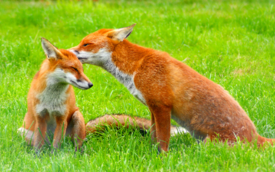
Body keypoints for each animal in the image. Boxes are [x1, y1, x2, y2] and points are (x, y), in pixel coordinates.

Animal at [69, 23, 275, 151]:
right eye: (81, 42)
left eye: (86, 44)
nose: (67, 52)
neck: (136, 67)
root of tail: (257, 138)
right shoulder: (152, 107)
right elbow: (154, 136)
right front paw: (151, 153)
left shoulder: (162, 106)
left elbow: (163, 140)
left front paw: (162, 158)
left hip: (208, 144)